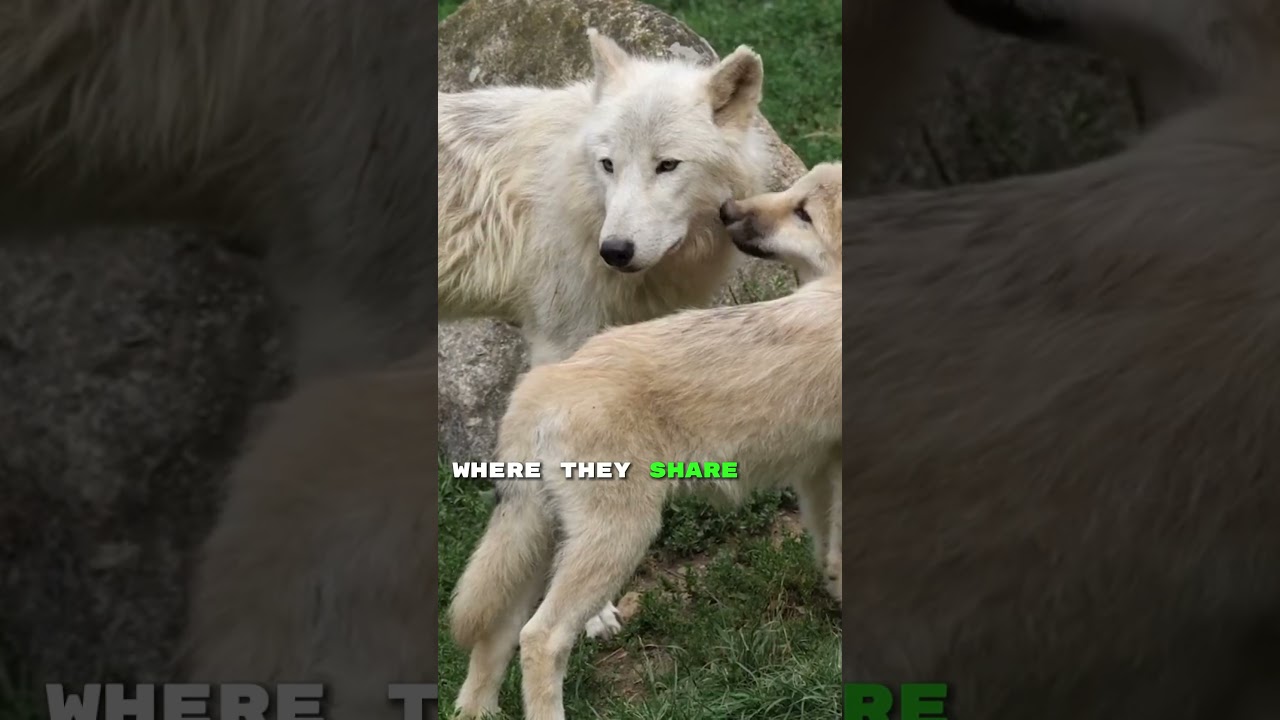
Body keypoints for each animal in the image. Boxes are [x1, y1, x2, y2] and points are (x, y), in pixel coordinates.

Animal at [447, 162, 843, 720]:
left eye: (801, 208)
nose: (728, 211)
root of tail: (539, 385)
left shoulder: (818, 468)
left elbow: (829, 550)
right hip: (620, 538)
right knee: (540, 637)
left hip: (540, 541)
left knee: (497, 633)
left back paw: (475, 711)